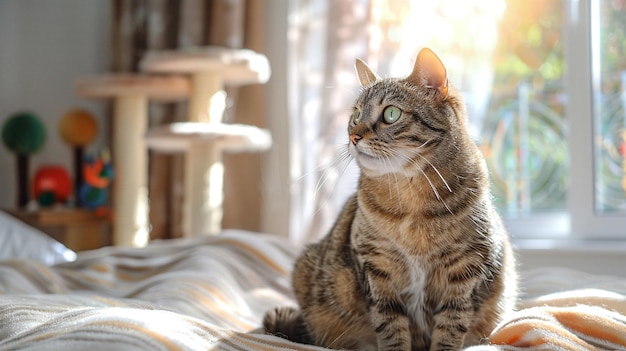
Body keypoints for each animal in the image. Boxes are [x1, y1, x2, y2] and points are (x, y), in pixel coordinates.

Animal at [264, 48, 516, 351]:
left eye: (391, 114)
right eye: (355, 114)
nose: (353, 136)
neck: (411, 201)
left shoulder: (466, 269)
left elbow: (451, 325)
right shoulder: (377, 267)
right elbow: (390, 326)